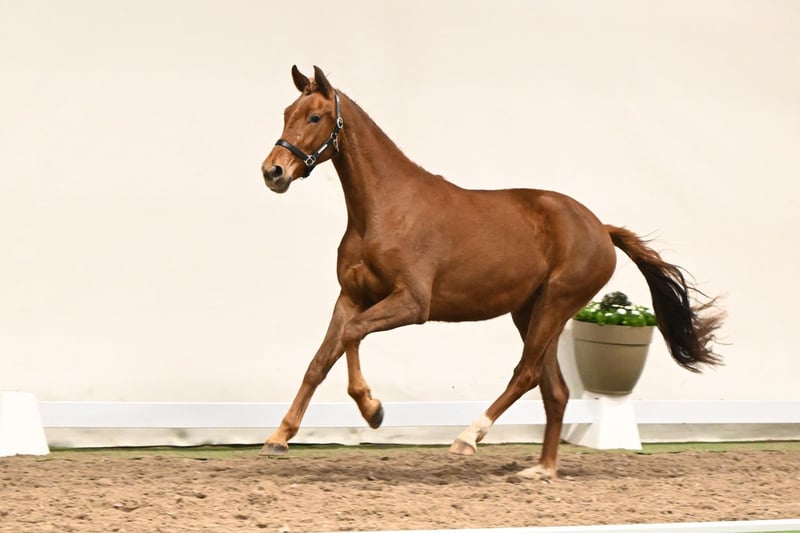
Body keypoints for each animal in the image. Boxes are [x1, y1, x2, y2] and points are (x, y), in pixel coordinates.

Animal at [260, 65, 723, 479]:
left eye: (314, 117)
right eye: (286, 113)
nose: (273, 171)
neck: (383, 209)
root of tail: (601, 228)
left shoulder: (412, 304)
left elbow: (354, 335)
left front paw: (373, 410)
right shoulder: (352, 295)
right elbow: (320, 361)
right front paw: (279, 437)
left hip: (555, 304)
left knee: (527, 374)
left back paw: (469, 437)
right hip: (531, 312)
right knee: (554, 389)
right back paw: (541, 470)